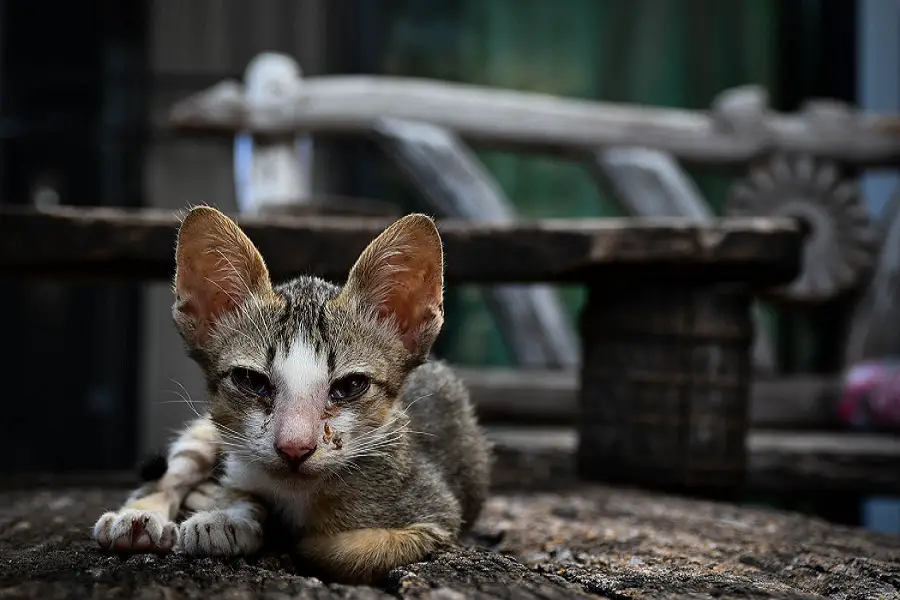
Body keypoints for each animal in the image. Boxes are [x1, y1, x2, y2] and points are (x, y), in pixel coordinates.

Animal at [91, 206, 492, 580]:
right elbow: (243, 491)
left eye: (350, 386)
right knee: (171, 474)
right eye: (251, 380)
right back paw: (140, 517)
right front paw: (228, 514)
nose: (294, 448)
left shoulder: (436, 513)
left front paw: (248, 521)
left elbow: (345, 550)